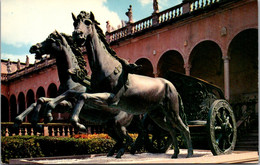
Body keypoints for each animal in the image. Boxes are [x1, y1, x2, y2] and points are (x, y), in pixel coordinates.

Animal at [69, 10, 193, 158]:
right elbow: (79, 96)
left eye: (87, 22)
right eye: (75, 23)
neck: (106, 66)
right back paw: (175, 153)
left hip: (172, 112)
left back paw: (189, 153)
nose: (77, 35)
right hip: (157, 115)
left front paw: (79, 125)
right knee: (171, 130)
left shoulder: (111, 98)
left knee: (183, 128)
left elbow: (82, 96)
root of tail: (172, 86)